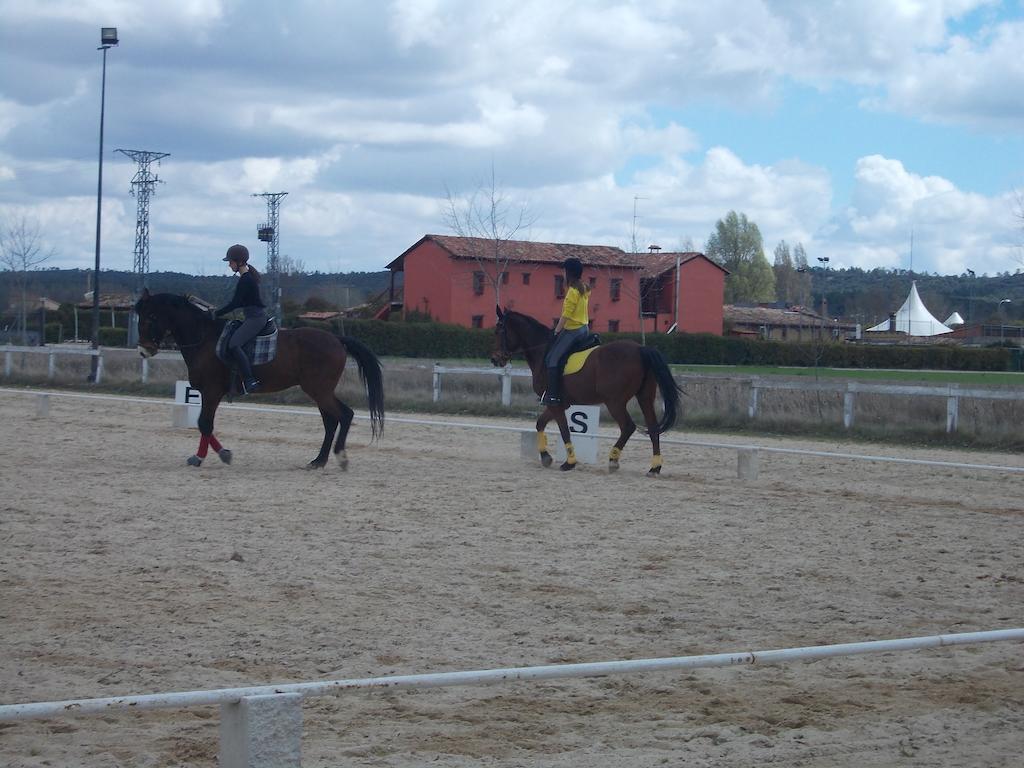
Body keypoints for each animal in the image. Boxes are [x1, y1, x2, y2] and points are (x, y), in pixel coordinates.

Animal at [132, 290, 380, 466]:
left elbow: (204, 423)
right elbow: (205, 425)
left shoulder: (211, 390)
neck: (204, 339)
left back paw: (340, 457)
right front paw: (221, 454)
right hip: (320, 391)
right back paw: (318, 461)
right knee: (331, 421)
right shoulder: (207, 391)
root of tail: (337, 339)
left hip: (319, 390)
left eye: (150, 318)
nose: (143, 351)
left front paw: (206, 457)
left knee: (344, 416)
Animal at [493, 307, 684, 475]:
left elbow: (564, 430)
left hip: (615, 402)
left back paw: (613, 460)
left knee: (628, 426)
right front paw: (546, 457)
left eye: (498, 332)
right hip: (644, 397)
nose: (495, 359)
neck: (542, 350)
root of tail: (640, 348)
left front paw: (569, 462)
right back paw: (654, 467)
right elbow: (540, 423)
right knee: (653, 427)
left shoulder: (555, 404)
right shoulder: (558, 403)